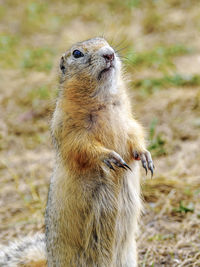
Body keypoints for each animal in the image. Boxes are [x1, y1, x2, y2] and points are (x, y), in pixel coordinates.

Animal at [0, 36, 155, 266]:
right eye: (77, 53)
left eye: (105, 40)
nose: (109, 53)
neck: (103, 99)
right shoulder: (69, 127)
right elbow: (81, 146)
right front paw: (110, 157)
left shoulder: (127, 120)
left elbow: (135, 134)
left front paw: (145, 157)